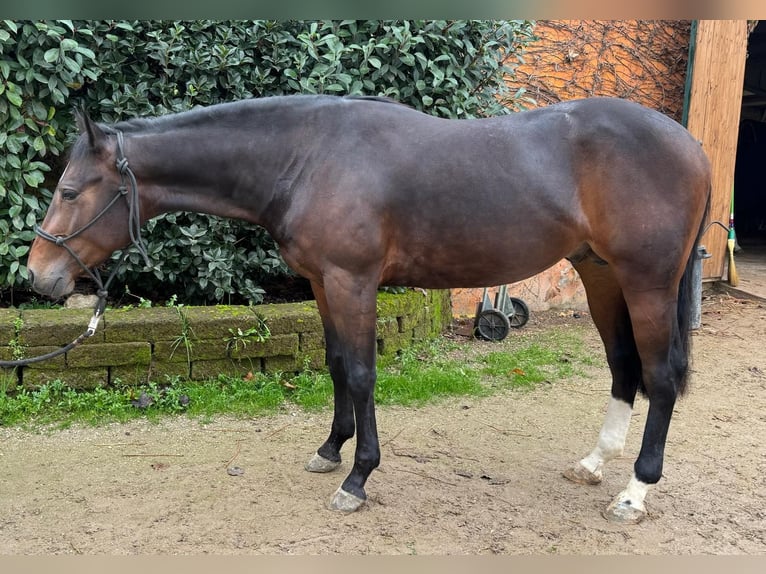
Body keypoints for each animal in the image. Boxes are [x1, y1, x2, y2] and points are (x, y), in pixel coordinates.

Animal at [28, 95, 712, 528]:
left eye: (69, 190)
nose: (37, 275)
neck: (307, 157)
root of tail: (692, 146)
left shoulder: (352, 282)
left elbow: (361, 373)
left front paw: (357, 479)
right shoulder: (323, 283)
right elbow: (335, 364)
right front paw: (331, 449)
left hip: (647, 283)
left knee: (659, 377)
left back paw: (634, 493)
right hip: (600, 275)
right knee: (623, 367)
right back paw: (595, 464)